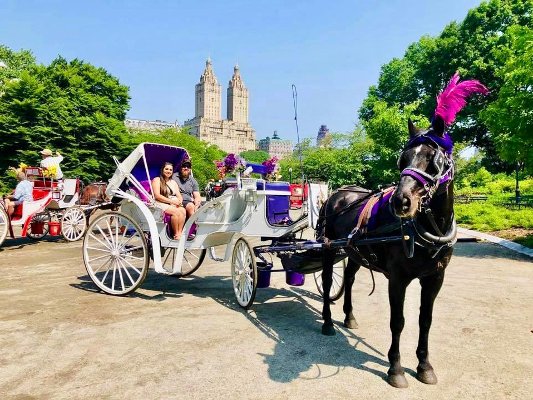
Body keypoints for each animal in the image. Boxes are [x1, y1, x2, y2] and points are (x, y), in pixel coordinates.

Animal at [316, 72, 486, 388]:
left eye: (434, 160)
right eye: (402, 159)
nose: (400, 201)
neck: (429, 228)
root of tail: (337, 193)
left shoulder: (434, 278)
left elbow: (424, 320)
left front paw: (424, 365)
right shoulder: (398, 278)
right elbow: (398, 321)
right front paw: (395, 368)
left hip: (354, 252)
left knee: (349, 277)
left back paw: (349, 317)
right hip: (328, 249)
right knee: (327, 280)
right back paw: (328, 322)